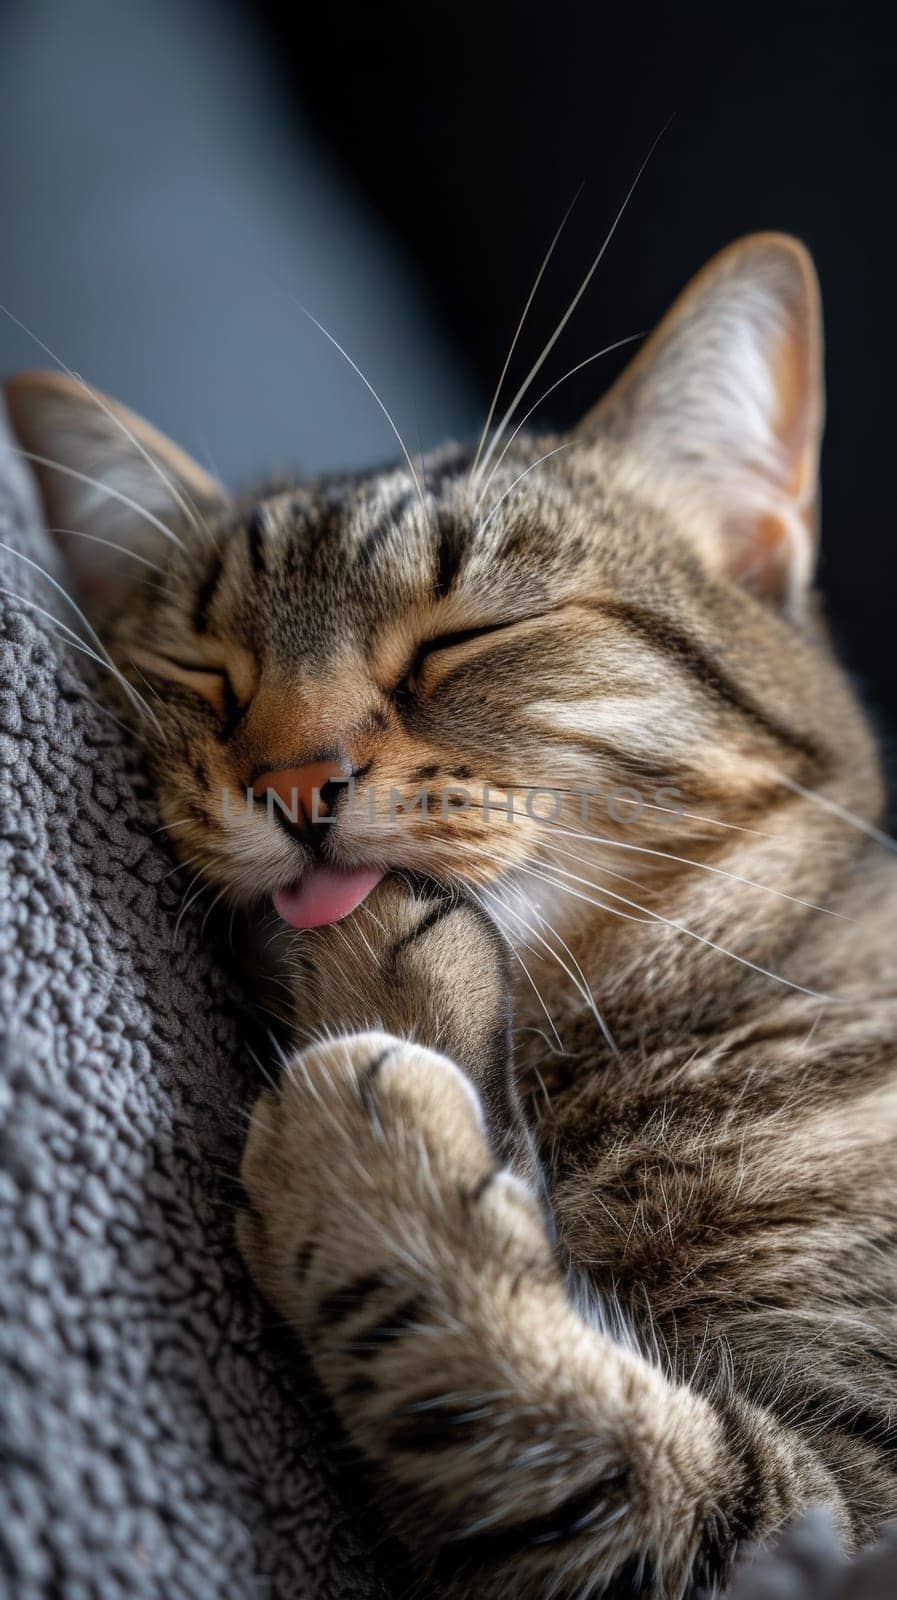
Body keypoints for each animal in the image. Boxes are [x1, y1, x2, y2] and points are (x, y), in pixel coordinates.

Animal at [6, 232, 895, 1593]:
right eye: (203, 674)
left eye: (469, 634)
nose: (293, 779)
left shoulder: (849, 1502)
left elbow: (608, 1460)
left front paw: (371, 1158)